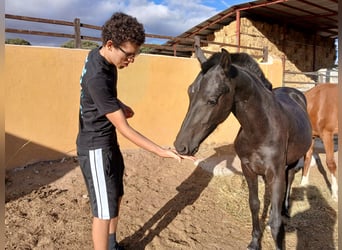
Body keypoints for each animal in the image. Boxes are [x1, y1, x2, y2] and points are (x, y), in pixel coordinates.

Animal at [175, 47, 312, 250]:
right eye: (190, 93)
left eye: (212, 100)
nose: (180, 146)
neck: (261, 129)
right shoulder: (248, 169)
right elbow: (254, 204)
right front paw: (254, 242)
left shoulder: (276, 172)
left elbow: (275, 223)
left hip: (293, 160)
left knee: (291, 177)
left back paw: (286, 209)